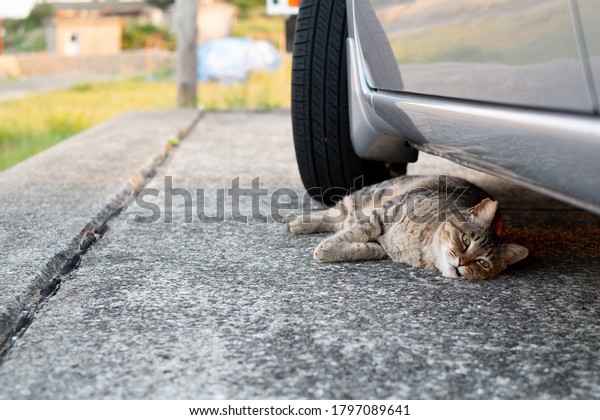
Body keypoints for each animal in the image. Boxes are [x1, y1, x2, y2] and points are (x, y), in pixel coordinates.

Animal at [284, 176, 528, 280]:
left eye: (483, 263)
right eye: (465, 239)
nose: (461, 262)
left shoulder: (381, 243)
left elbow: (363, 247)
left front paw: (335, 250)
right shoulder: (381, 215)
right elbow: (354, 232)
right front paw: (325, 248)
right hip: (366, 196)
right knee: (336, 213)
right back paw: (297, 221)